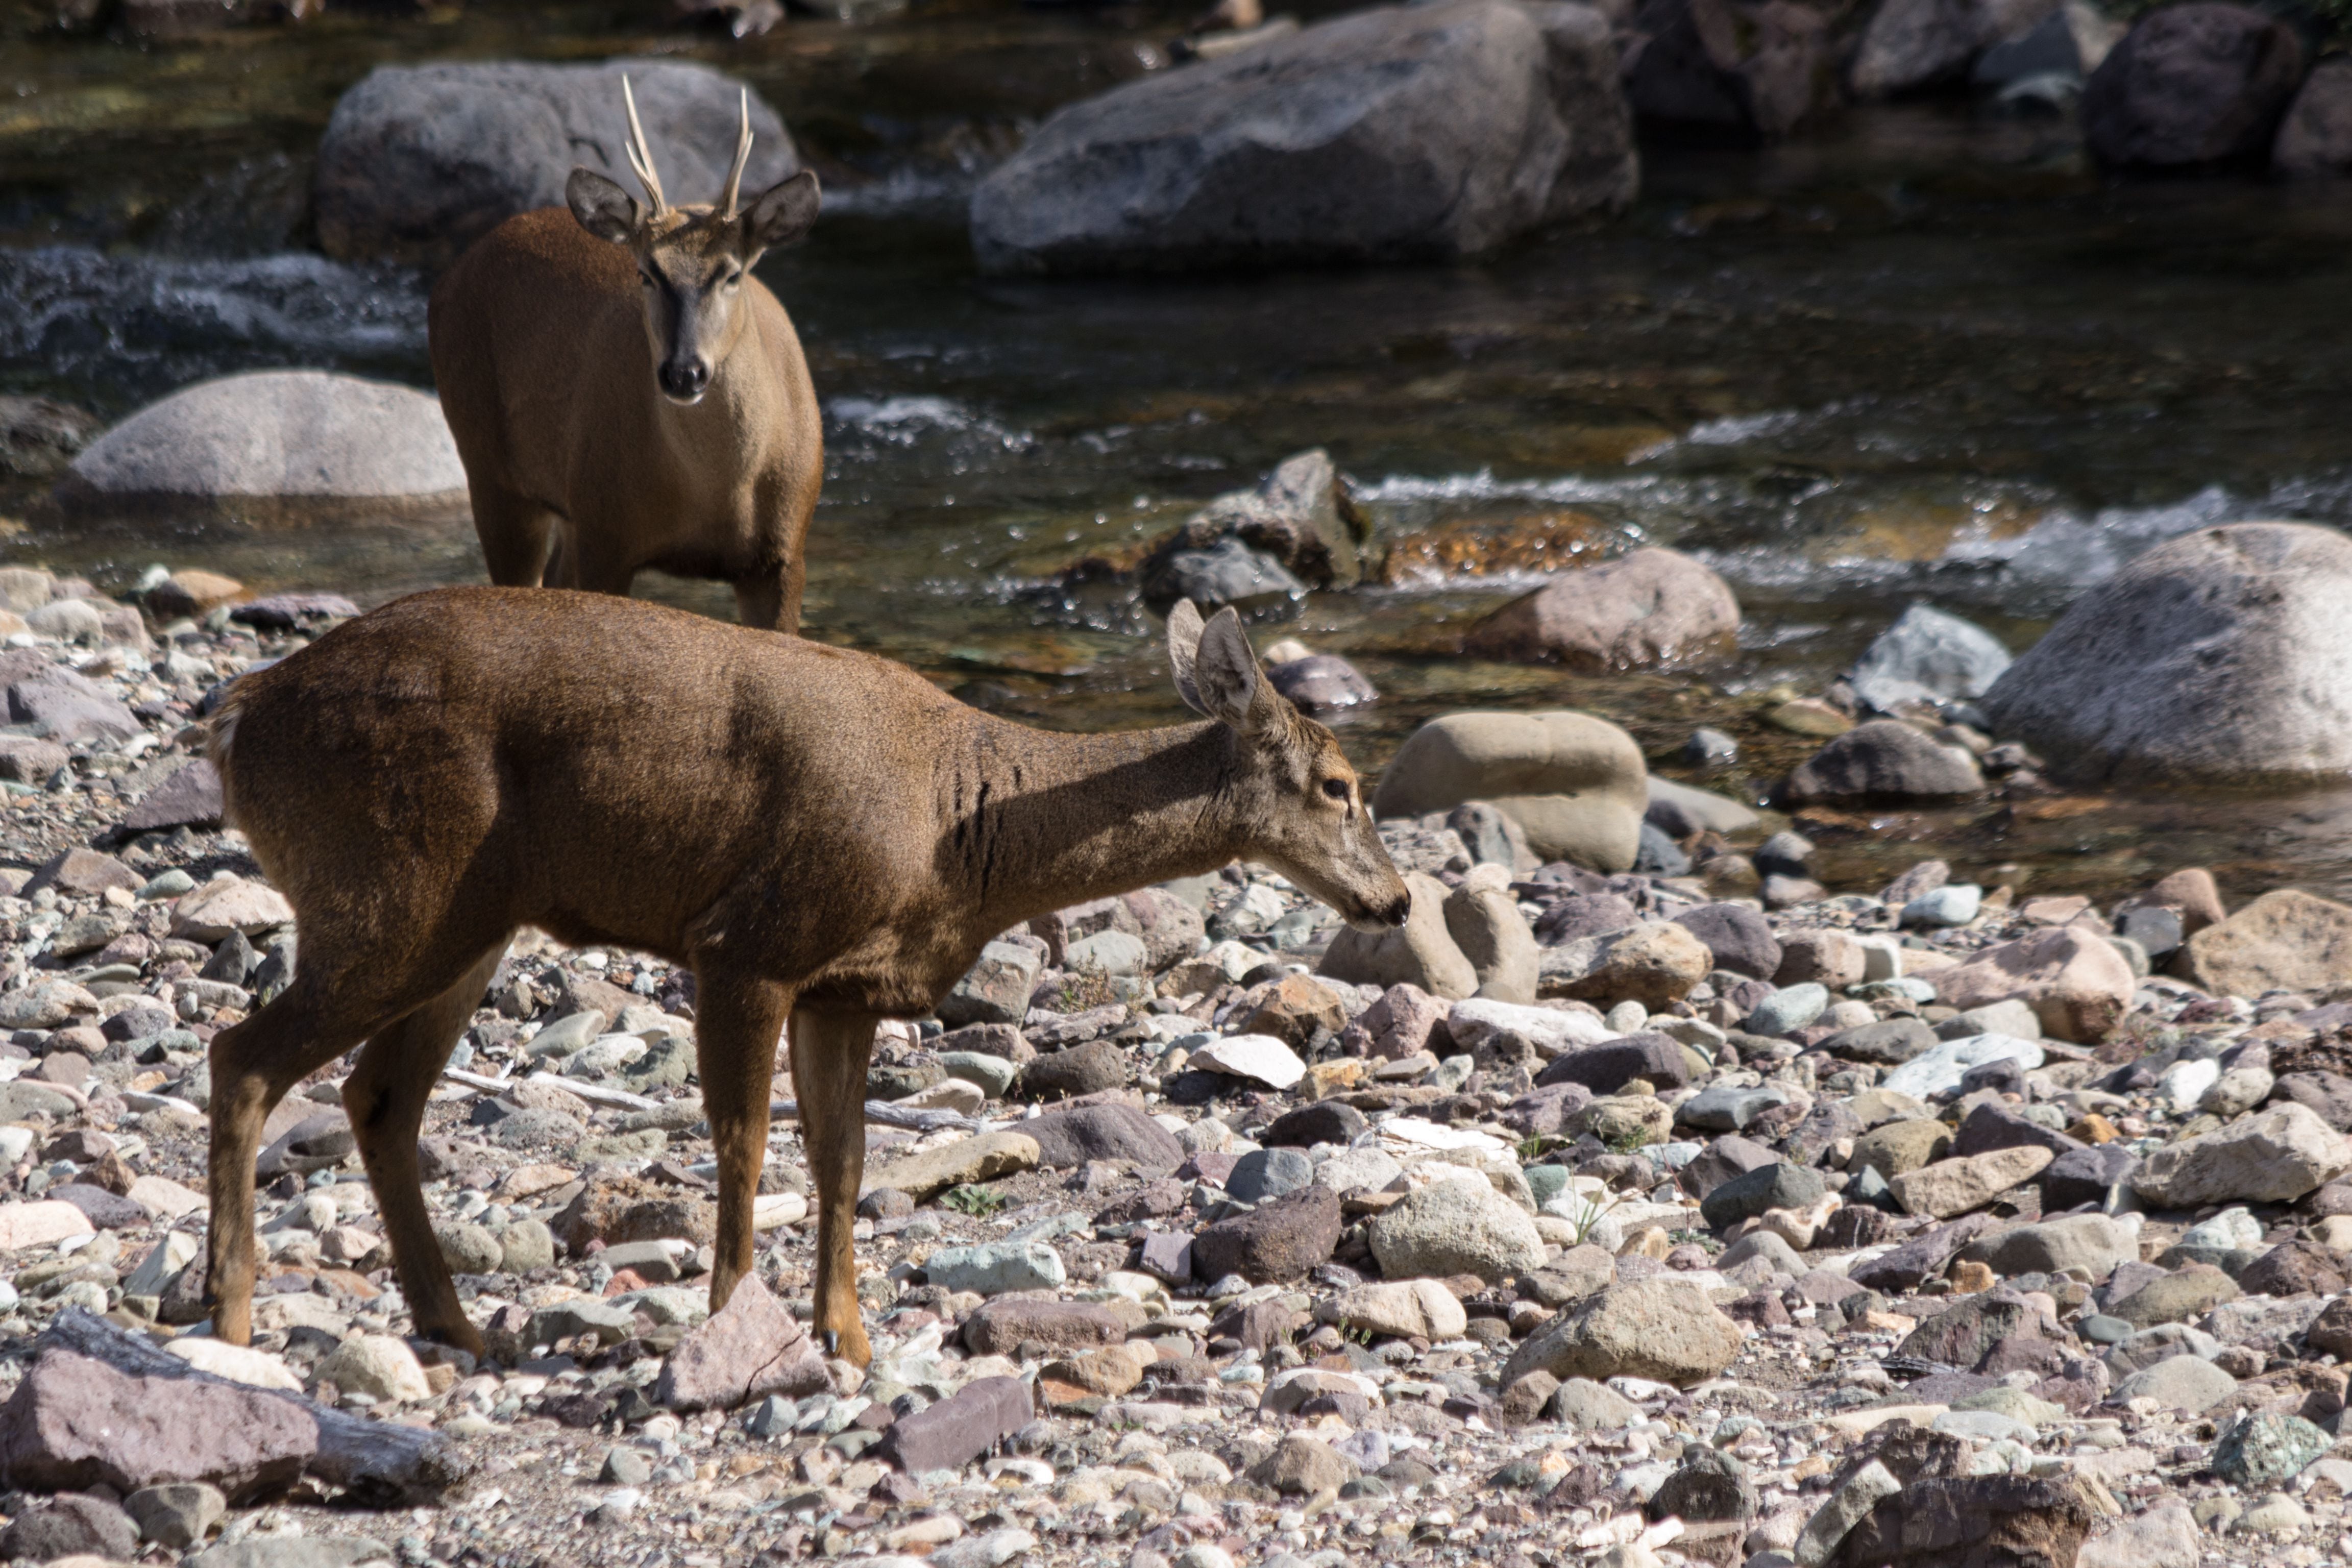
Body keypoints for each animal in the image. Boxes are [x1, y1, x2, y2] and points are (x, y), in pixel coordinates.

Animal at [430, 80, 828, 630]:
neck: (717, 498)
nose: (684, 373)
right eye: (646, 272)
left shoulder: (785, 555)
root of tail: (451, 275)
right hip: (492, 471)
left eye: (732, 273)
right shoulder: (607, 533)